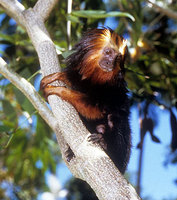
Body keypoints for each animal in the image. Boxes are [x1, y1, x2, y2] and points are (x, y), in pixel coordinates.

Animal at [40, 27, 131, 173]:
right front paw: (60, 76)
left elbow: (97, 110)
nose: (110, 63)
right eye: (108, 52)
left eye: (117, 58)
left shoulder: (111, 92)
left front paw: (59, 90)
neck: (95, 79)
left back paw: (104, 143)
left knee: (117, 120)